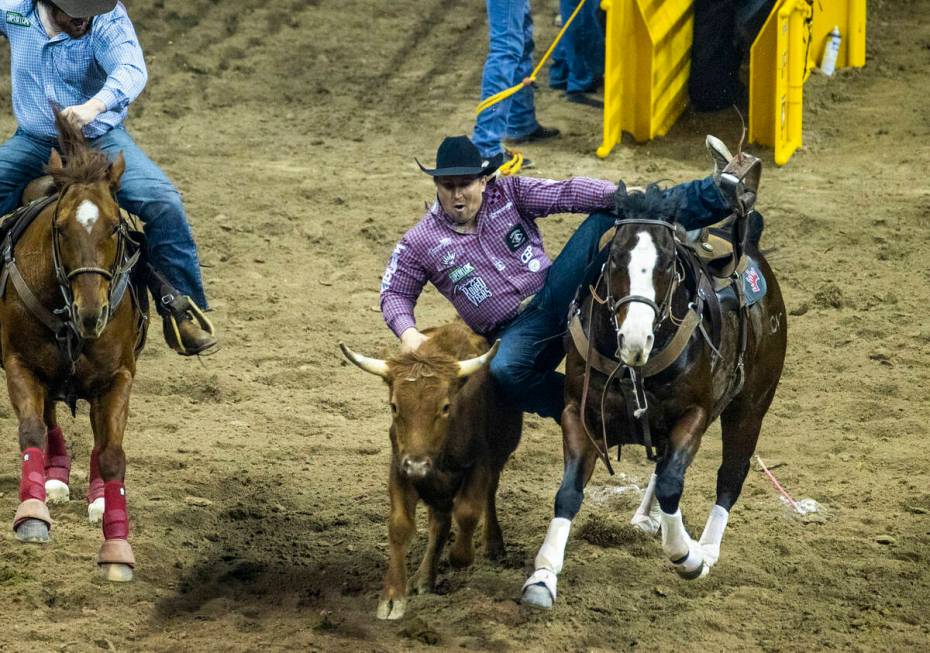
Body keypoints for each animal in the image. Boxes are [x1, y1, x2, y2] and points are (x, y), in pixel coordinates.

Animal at [0, 111, 146, 580]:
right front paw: (32, 513)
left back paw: (97, 496)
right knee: (48, 419)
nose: (92, 312)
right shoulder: (20, 363)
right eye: (60, 228)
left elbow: (113, 453)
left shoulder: (119, 378)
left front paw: (117, 547)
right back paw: (54, 476)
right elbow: (32, 429)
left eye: (115, 227)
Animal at [520, 182, 784, 608]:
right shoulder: (579, 413)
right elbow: (569, 492)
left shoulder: (695, 414)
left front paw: (686, 556)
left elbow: (673, 485)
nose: (634, 339)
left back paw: (707, 549)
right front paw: (542, 577)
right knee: (663, 471)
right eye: (613, 259)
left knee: (730, 475)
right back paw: (648, 518)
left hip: (750, 406)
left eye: (668, 264)